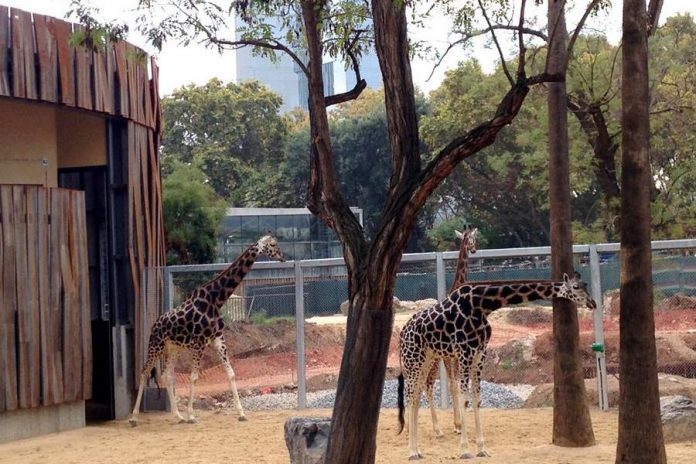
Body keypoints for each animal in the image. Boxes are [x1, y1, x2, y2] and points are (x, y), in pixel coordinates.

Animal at [129, 234, 284, 426]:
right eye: (273, 244)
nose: (282, 257)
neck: (216, 300)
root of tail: (154, 324)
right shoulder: (199, 342)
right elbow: (194, 377)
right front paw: (191, 415)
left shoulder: (218, 339)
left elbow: (231, 374)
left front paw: (241, 413)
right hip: (155, 345)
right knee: (144, 372)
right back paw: (134, 417)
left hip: (173, 349)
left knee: (167, 375)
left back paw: (178, 416)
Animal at [394, 274, 596, 458]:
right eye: (576, 287)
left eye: (586, 284)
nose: (592, 303)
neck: (483, 305)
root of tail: (402, 333)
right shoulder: (464, 353)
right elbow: (463, 399)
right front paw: (465, 450)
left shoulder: (479, 354)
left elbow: (476, 399)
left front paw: (482, 449)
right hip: (413, 360)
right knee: (411, 397)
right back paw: (412, 452)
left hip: (426, 359)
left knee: (417, 396)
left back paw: (418, 450)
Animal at [422, 227, 476, 436]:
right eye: (468, 239)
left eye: (475, 239)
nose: (474, 249)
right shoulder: (452, 354)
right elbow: (454, 385)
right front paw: (458, 425)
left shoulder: (454, 354)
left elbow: (458, 384)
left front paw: (458, 422)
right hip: (433, 359)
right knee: (427, 384)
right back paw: (437, 429)